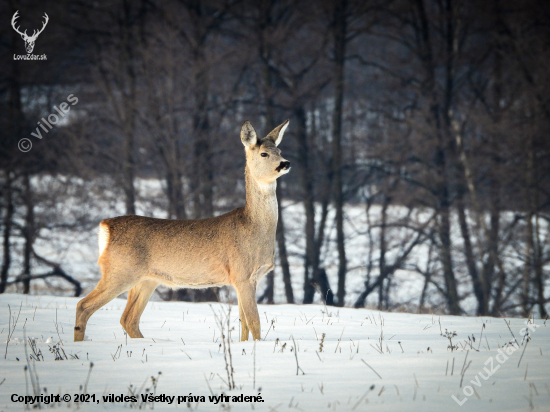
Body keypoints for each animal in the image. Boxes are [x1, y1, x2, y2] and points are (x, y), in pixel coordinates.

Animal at [75, 119, 292, 342]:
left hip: (146, 280)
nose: (285, 163)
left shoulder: (246, 280)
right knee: (84, 305)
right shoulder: (242, 274)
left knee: (128, 319)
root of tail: (105, 226)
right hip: (120, 271)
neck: (254, 227)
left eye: (279, 150)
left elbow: (244, 325)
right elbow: (254, 323)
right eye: (264, 154)